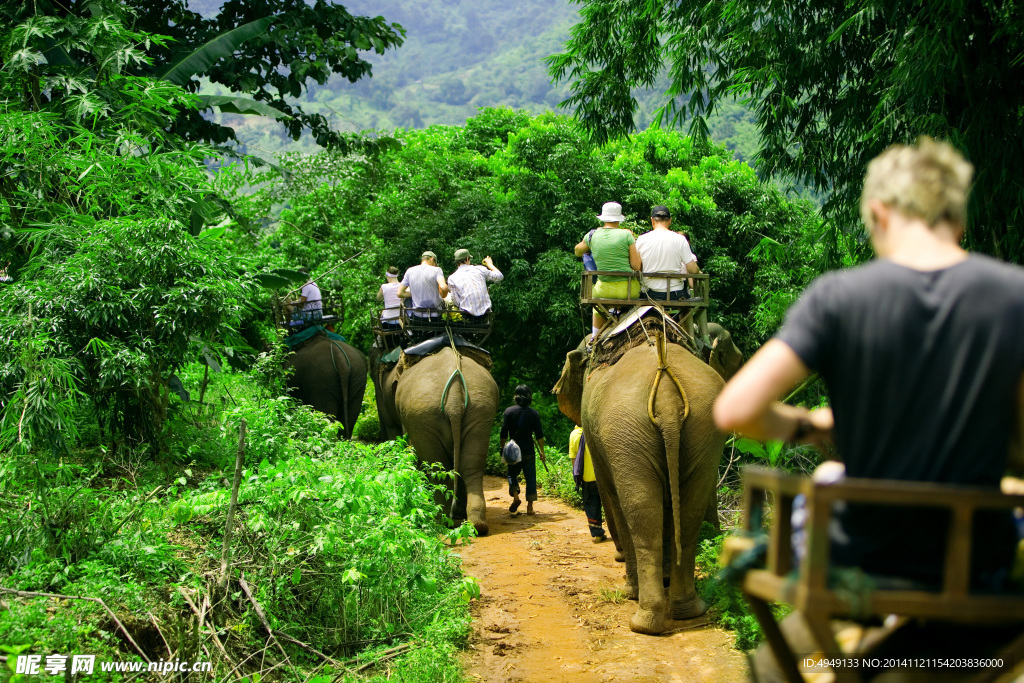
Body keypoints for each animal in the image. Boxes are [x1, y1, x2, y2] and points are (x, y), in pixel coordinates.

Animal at [372, 348, 499, 532]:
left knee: (439, 468)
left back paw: (439, 520)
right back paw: (476, 524)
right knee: (471, 466)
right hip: (481, 411)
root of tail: (454, 397)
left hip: (424, 417)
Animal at [552, 323, 745, 634]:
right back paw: (687, 610)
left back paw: (643, 619)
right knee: (686, 513)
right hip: (701, 429)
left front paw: (632, 586)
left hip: (625, 432)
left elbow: (612, 496)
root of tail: (666, 391)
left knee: (641, 514)